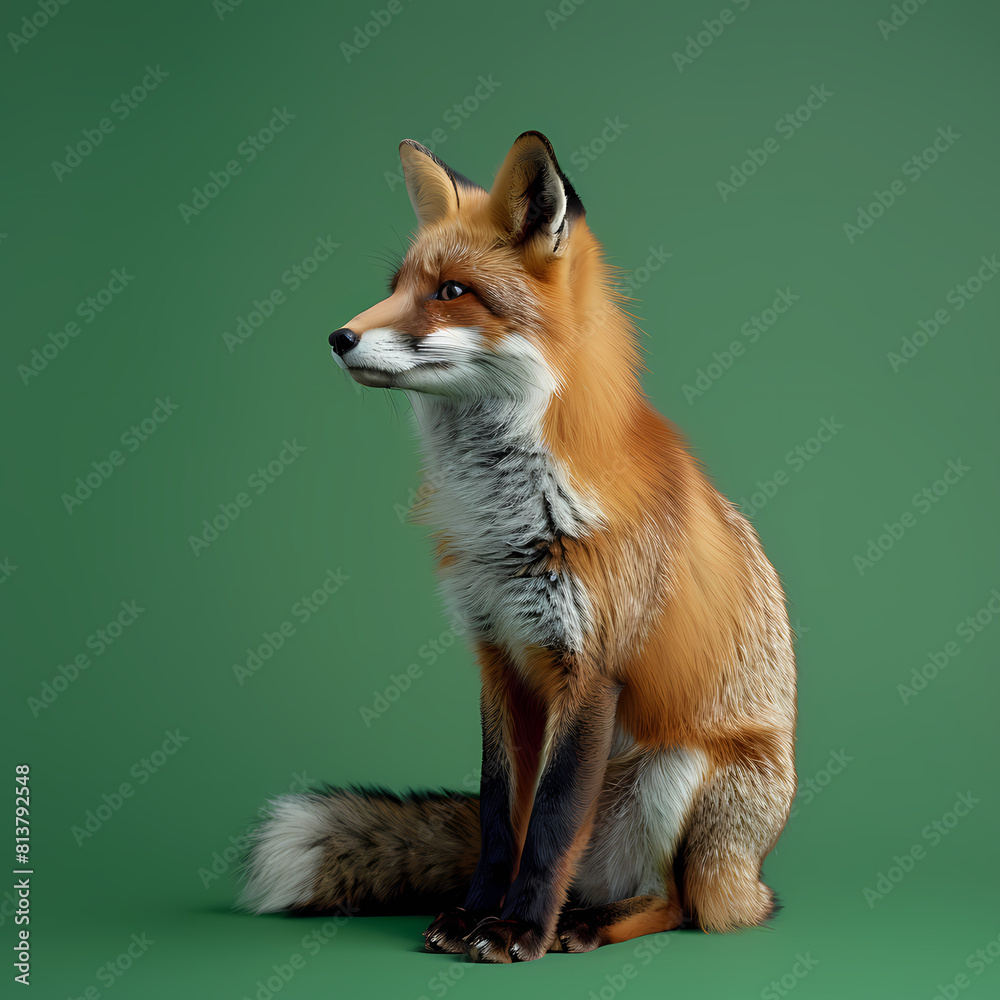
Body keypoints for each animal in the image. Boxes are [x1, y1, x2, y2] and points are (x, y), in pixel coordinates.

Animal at [239, 131, 797, 963]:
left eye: (452, 291)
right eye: (397, 286)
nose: (338, 338)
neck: (510, 520)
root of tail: (754, 880)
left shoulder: (590, 670)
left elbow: (552, 825)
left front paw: (519, 930)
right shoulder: (498, 659)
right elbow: (504, 820)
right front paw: (476, 915)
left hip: (679, 769)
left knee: (679, 903)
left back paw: (584, 924)